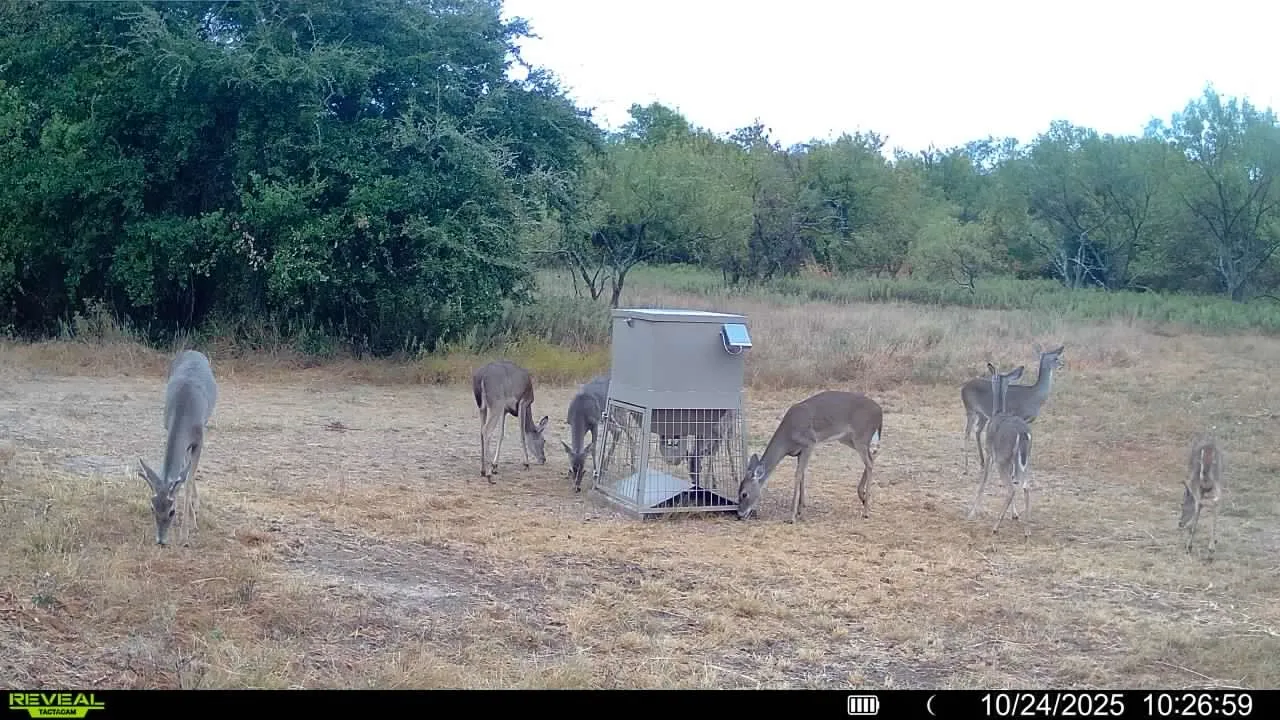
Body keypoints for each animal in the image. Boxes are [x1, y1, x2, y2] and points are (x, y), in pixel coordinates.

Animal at [138, 349, 218, 547]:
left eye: (172, 510)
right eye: (152, 508)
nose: (160, 540)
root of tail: (193, 351)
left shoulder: (200, 438)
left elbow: (187, 480)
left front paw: (187, 532)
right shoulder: (168, 426)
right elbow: (183, 473)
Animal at [736, 390, 883, 523]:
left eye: (744, 494)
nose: (739, 514)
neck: (787, 438)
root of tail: (880, 412)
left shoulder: (809, 442)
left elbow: (798, 475)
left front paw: (792, 516)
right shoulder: (799, 452)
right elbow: (803, 475)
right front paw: (801, 511)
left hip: (861, 435)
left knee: (869, 463)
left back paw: (866, 511)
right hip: (848, 439)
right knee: (872, 457)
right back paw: (862, 497)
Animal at [961, 344, 1064, 472]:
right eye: (1056, 358)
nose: (1062, 364)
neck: (1035, 396)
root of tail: (963, 387)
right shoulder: (1019, 416)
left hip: (982, 415)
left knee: (977, 431)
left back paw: (982, 461)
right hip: (970, 409)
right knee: (967, 433)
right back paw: (967, 466)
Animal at [966, 363, 1035, 537]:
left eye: (992, 377)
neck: (997, 413)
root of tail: (1022, 433)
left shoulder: (990, 452)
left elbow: (983, 481)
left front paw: (972, 512)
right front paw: (1015, 514)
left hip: (1002, 459)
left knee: (1011, 489)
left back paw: (995, 527)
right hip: (1025, 460)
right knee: (1025, 486)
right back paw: (1027, 530)